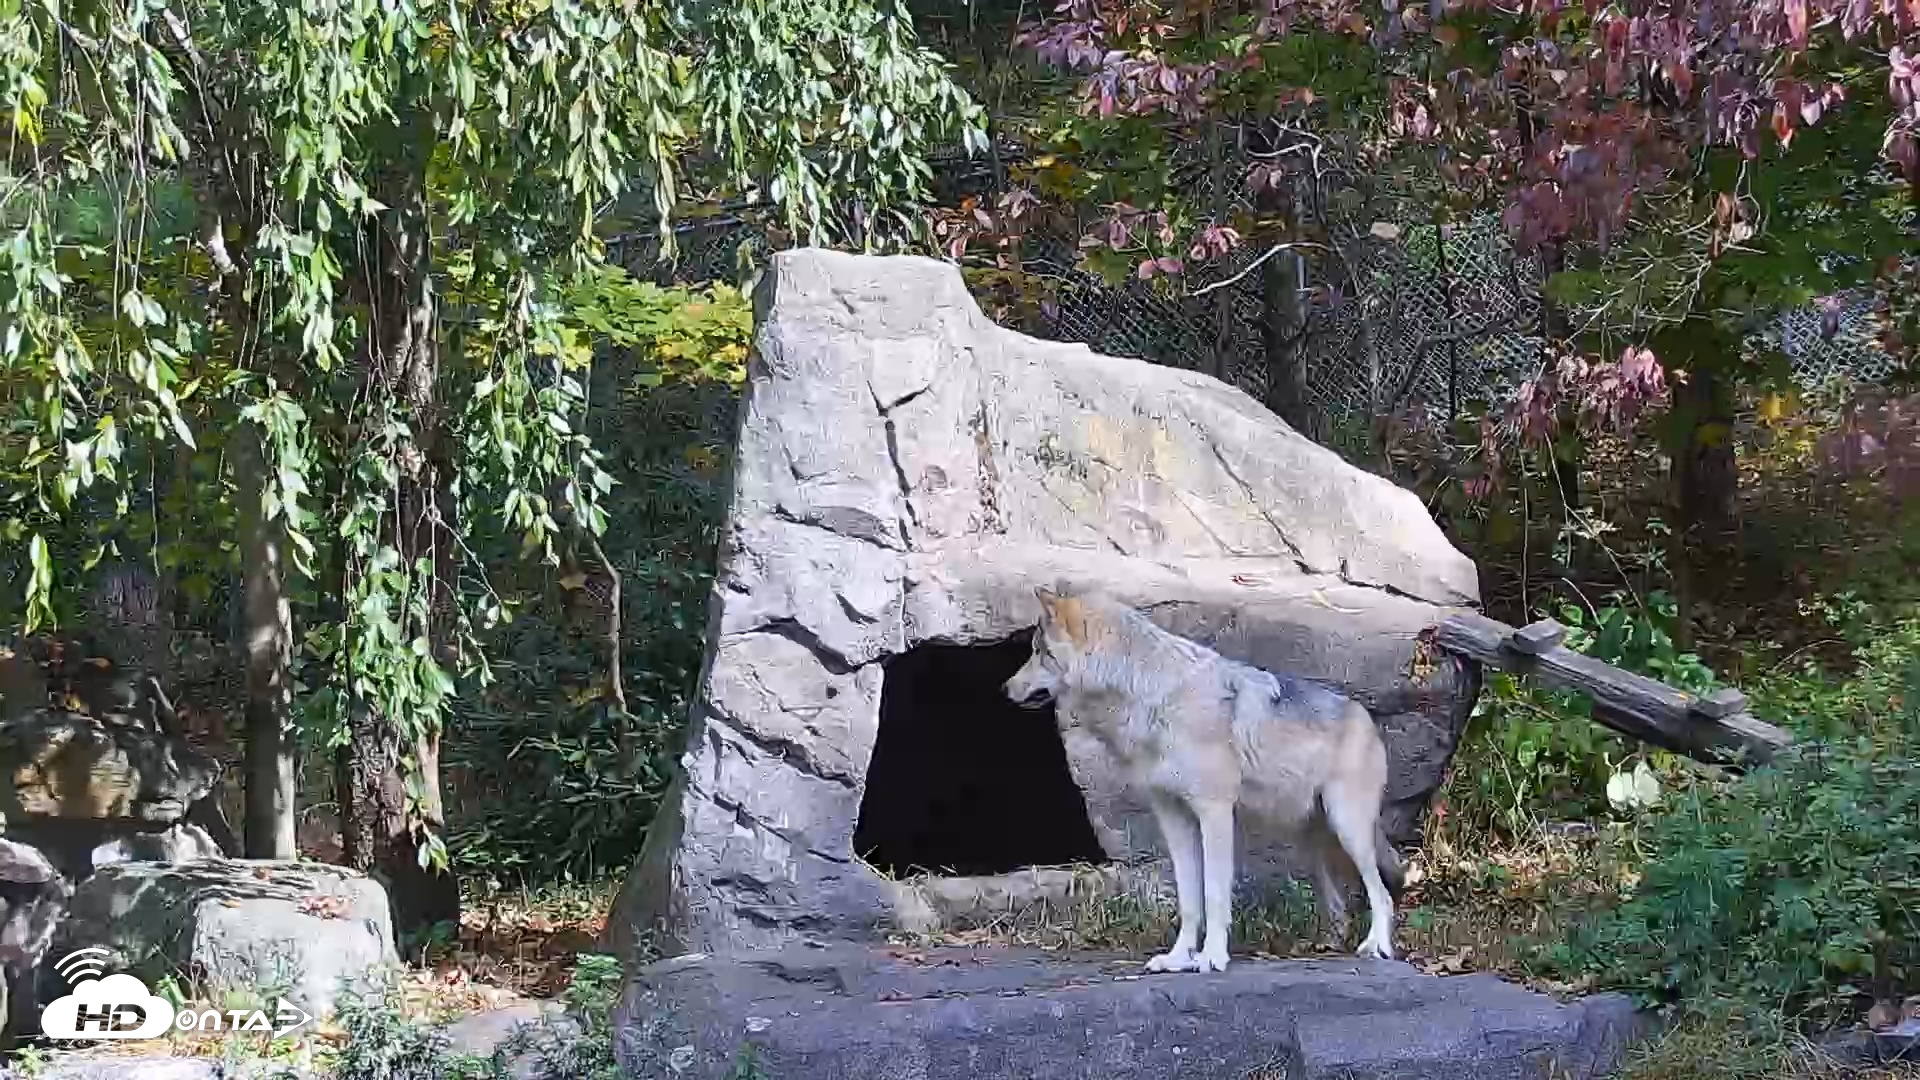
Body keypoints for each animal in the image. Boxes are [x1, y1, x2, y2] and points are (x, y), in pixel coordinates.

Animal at [1002, 586, 1404, 973]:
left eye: (1037, 652)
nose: (1005, 688)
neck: (1154, 696)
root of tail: (1363, 714)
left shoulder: (1214, 813)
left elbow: (1213, 895)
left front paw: (1211, 957)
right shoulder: (1174, 818)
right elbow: (1190, 898)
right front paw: (1179, 958)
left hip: (1347, 829)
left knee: (1381, 894)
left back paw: (1376, 946)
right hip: (1307, 840)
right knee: (1340, 905)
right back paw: (1329, 945)